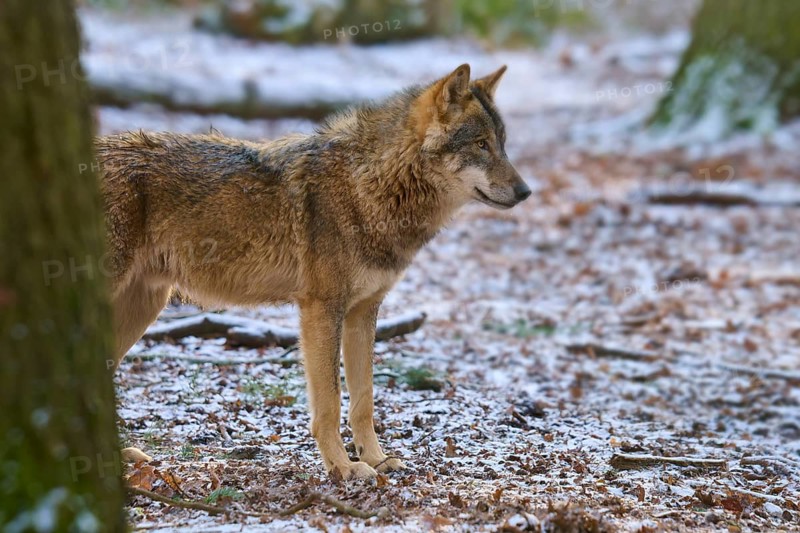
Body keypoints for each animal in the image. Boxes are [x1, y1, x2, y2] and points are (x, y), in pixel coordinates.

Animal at [98, 64, 530, 479]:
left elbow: (364, 400)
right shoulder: (321, 310)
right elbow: (330, 403)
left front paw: (377, 460)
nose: (526, 192)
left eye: (503, 143)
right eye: (480, 144)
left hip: (143, 308)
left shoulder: (363, 312)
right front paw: (342, 467)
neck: (369, 185)